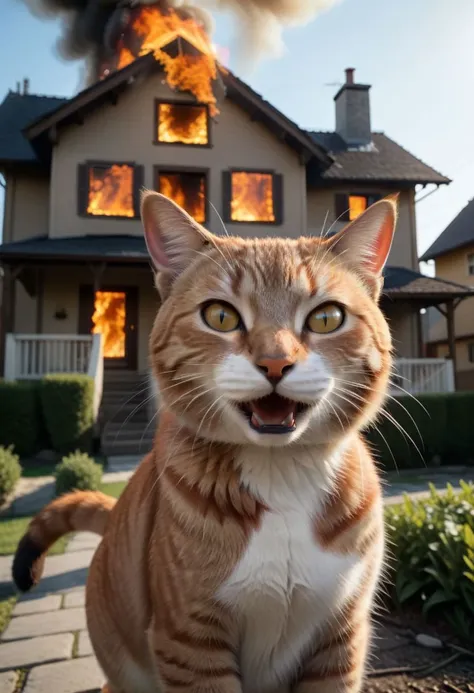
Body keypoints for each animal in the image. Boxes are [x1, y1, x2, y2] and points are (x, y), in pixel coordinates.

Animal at [12, 189, 396, 692]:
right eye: (220, 315)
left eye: (327, 317)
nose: (275, 363)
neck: (281, 476)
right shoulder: (189, 639)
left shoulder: (341, 638)